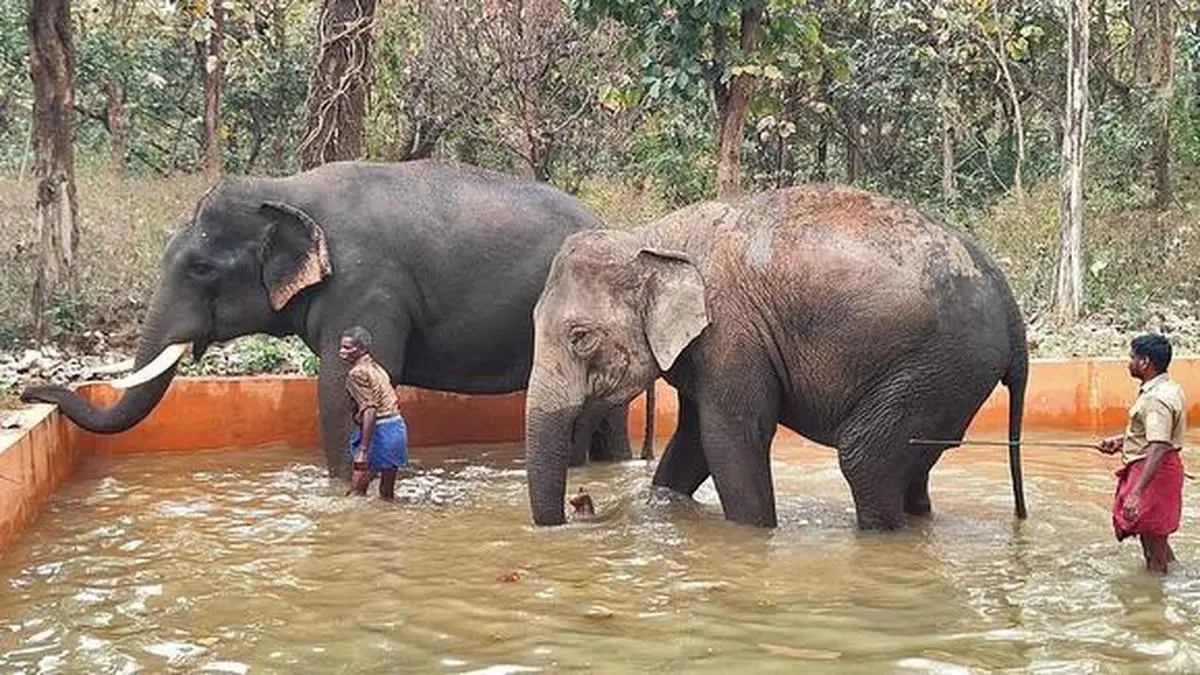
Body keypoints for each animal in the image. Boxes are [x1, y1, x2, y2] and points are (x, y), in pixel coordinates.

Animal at [523, 183, 1028, 530]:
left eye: (580, 337)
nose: (581, 505)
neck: (649, 238)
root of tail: (1010, 303)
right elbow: (692, 439)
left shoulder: (731, 334)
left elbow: (730, 438)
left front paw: (753, 533)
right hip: (950, 380)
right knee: (914, 468)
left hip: (939, 366)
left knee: (865, 462)